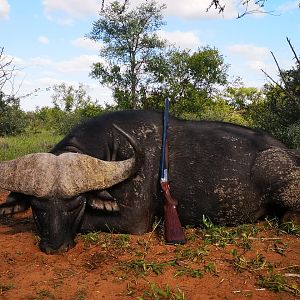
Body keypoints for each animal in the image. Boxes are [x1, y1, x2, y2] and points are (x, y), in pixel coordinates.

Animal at [0, 110, 298, 253]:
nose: (55, 247)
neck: (114, 148)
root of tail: (284, 150)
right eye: (37, 207)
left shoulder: (133, 220)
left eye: (77, 205)